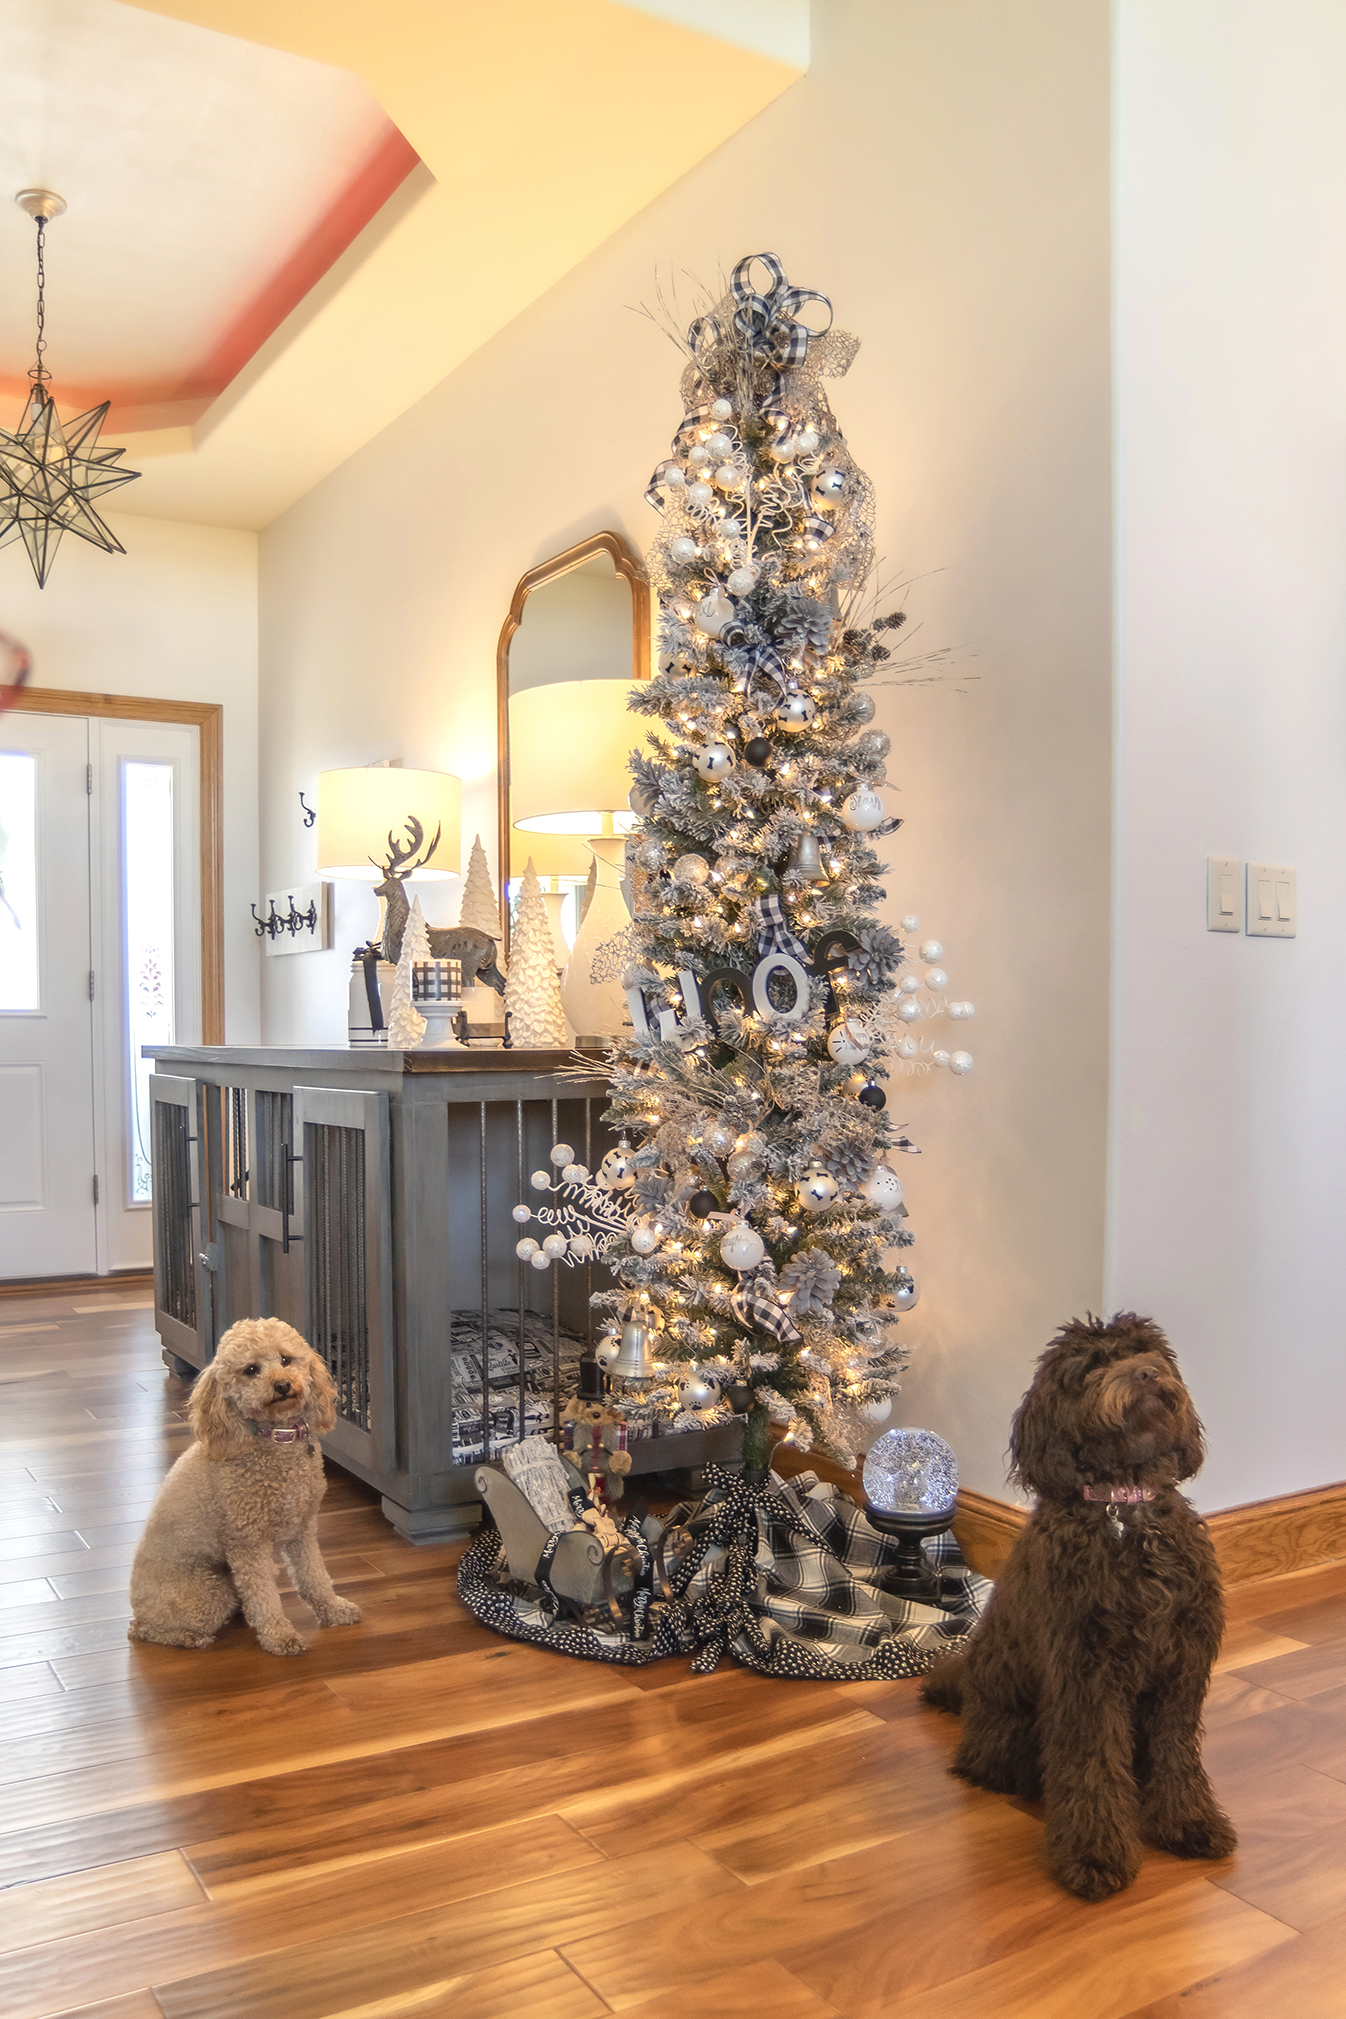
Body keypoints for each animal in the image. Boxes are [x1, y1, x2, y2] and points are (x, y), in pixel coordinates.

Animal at [129, 1318, 363, 1657]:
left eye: (285, 1360)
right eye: (251, 1369)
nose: (282, 1385)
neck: (276, 1439)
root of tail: (137, 1606)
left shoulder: (302, 1529)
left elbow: (314, 1577)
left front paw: (333, 1609)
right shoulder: (247, 1543)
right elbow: (264, 1596)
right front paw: (280, 1636)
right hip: (210, 1592)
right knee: (147, 1630)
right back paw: (190, 1638)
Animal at [921, 1313, 1236, 1900]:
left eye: (1148, 1351)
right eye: (1091, 1367)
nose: (1146, 1373)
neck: (1125, 1508)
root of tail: (969, 1696)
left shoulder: (1180, 1669)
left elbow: (1177, 1753)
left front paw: (1189, 1823)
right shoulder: (1087, 1674)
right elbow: (1092, 1765)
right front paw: (1095, 1854)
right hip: (1014, 1732)